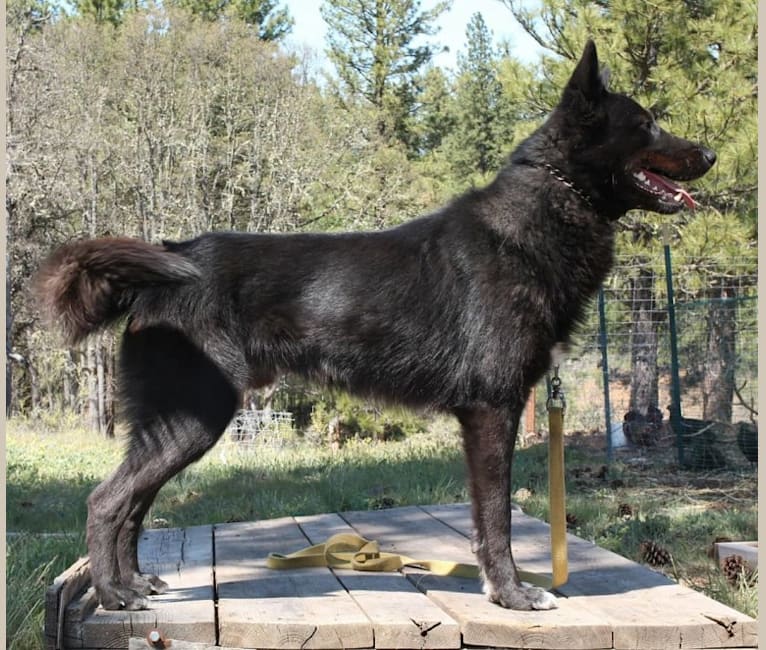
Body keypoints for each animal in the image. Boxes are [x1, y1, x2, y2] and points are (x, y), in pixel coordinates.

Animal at [39, 41, 716, 612]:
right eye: (646, 124)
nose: (710, 154)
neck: (542, 213)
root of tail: (165, 261)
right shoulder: (491, 413)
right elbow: (495, 519)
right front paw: (512, 596)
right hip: (194, 417)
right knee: (107, 502)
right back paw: (113, 595)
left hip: (175, 424)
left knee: (133, 503)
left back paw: (133, 583)